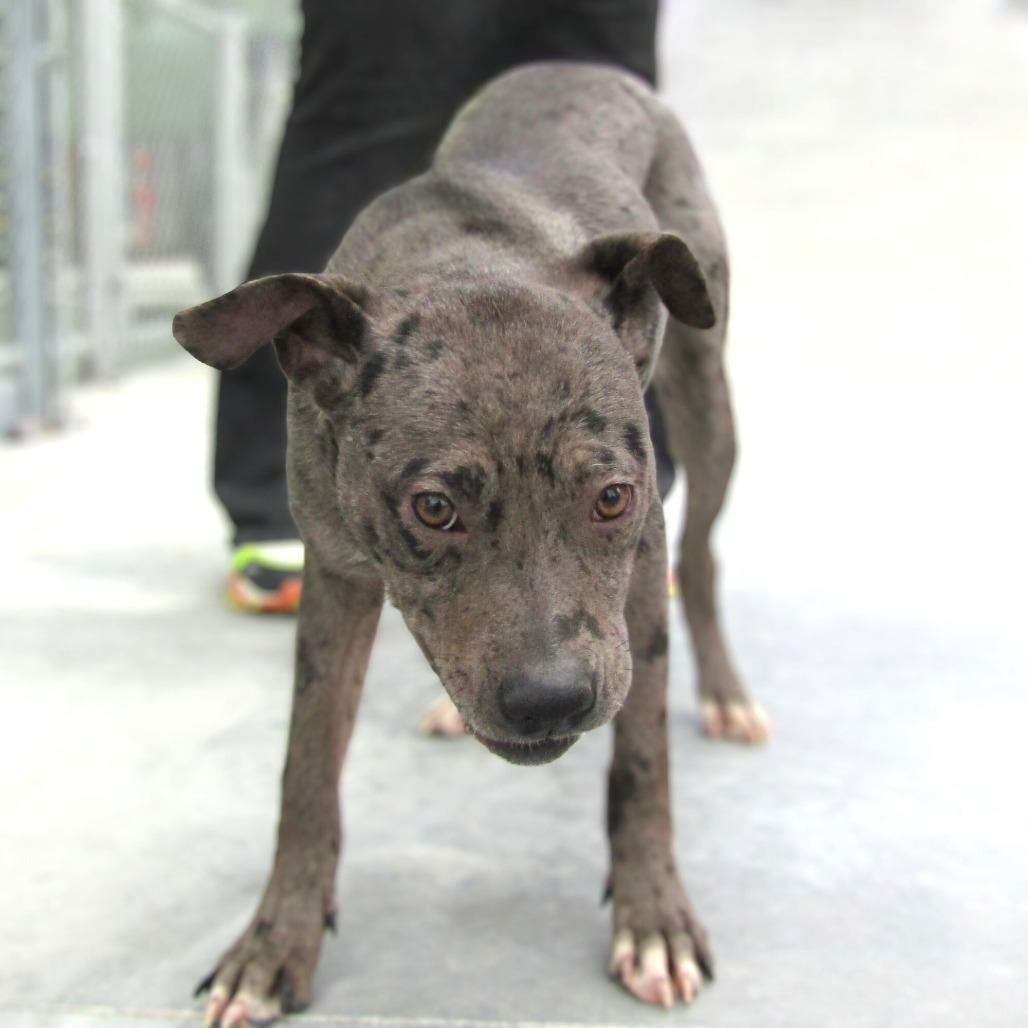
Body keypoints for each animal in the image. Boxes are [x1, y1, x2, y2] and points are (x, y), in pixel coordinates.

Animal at [172, 62, 768, 1028]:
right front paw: (272, 946)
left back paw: (725, 696)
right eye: (434, 508)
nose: (550, 701)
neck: (469, 259)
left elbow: (642, 759)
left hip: (705, 393)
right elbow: (306, 772)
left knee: (704, 558)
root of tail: (587, 69)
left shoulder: (638, 570)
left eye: (611, 497)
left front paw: (654, 921)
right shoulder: (335, 576)